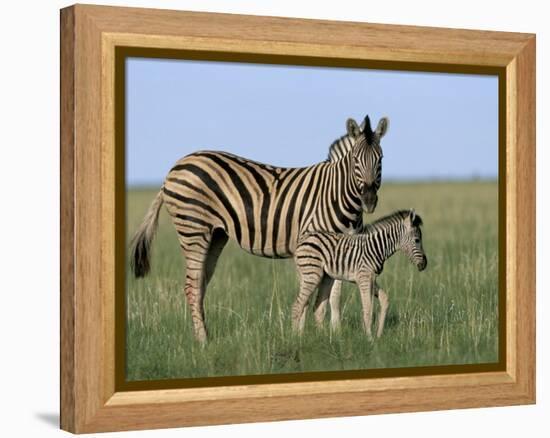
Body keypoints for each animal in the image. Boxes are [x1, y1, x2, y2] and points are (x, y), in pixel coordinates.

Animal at [130, 115, 388, 342]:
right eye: (355, 160)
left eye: (381, 159)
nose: (369, 200)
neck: (336, 194)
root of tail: (175, 167)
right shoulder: (313, 244)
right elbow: (312, 295)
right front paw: (302, 336)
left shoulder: (342, 248)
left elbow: (335, 294)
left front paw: (334, 334)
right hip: (193, 227)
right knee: (191, 286)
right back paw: (202, 342)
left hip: (215, 235)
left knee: (200, 284)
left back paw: (205, 336)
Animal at [296, 209, 430, 338]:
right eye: (417, 240)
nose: (424, 264)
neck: (376, 248)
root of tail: (304, 239)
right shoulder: (363, 277)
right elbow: (368, 308)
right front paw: (369, 338)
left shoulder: (372, 279)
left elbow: (384, 300)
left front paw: (378, 334)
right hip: (312, 273)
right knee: (301, 303)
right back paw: (296, 335)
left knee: (309, 304)